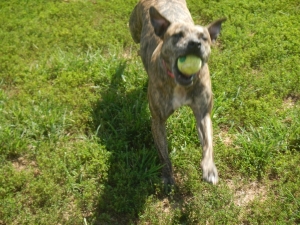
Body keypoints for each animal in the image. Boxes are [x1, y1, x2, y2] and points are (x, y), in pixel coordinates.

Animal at [129, 0, 225, 185]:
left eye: (204, 38)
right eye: (178, 35)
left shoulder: (203, 114)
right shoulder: (158, 121)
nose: (195, 44)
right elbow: (163, 154)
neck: (180, 84)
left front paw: (209, 168)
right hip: (134, 29)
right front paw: (167, 175)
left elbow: (208, 143)